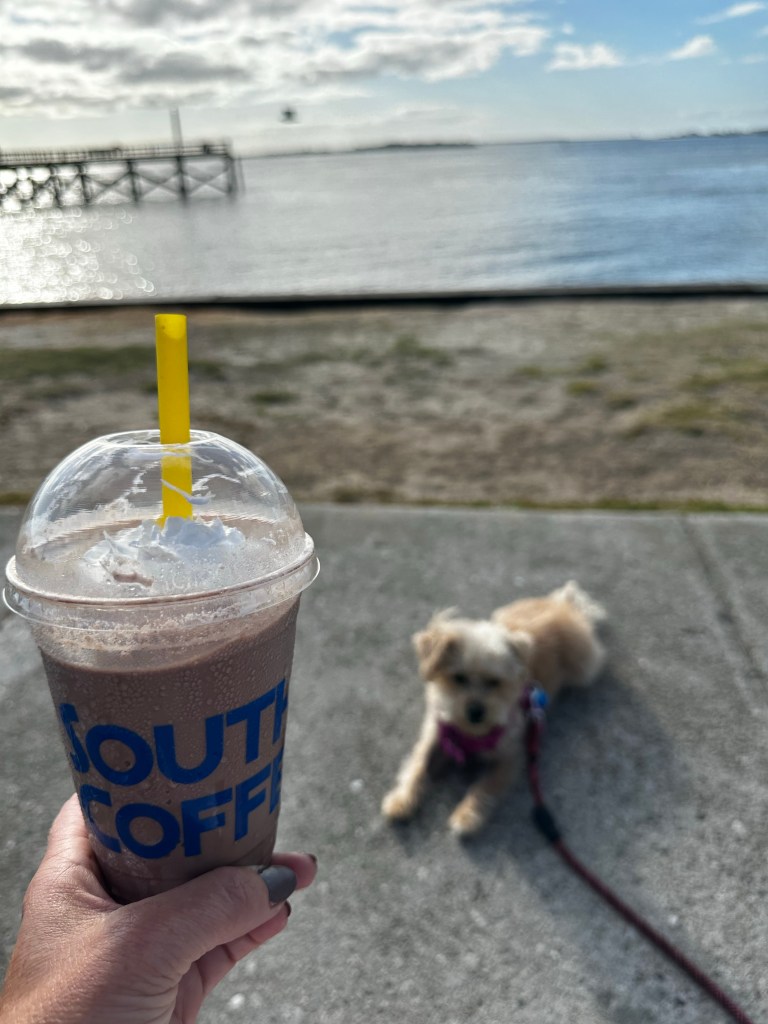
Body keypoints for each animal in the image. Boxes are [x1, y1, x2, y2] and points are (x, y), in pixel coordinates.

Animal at [381, 581, 606, 836]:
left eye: (495, 682)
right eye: (459, 678)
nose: (475, 712)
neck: (470, 733)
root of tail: (561, 605)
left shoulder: (510, 757)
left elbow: (484, 786)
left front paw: (467, 815)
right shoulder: (435, 733)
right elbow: (418, 766)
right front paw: (401, 800)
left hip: (585, 665)